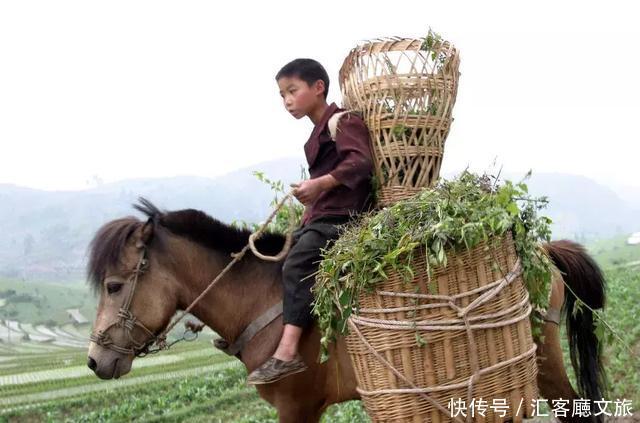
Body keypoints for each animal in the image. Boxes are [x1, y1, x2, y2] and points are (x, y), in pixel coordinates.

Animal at [87, 200, 608, 422]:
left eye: (113, 286)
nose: (94, 361)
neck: (257, 300)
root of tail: (543, 249)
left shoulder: (296, 407)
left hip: (543, 356)